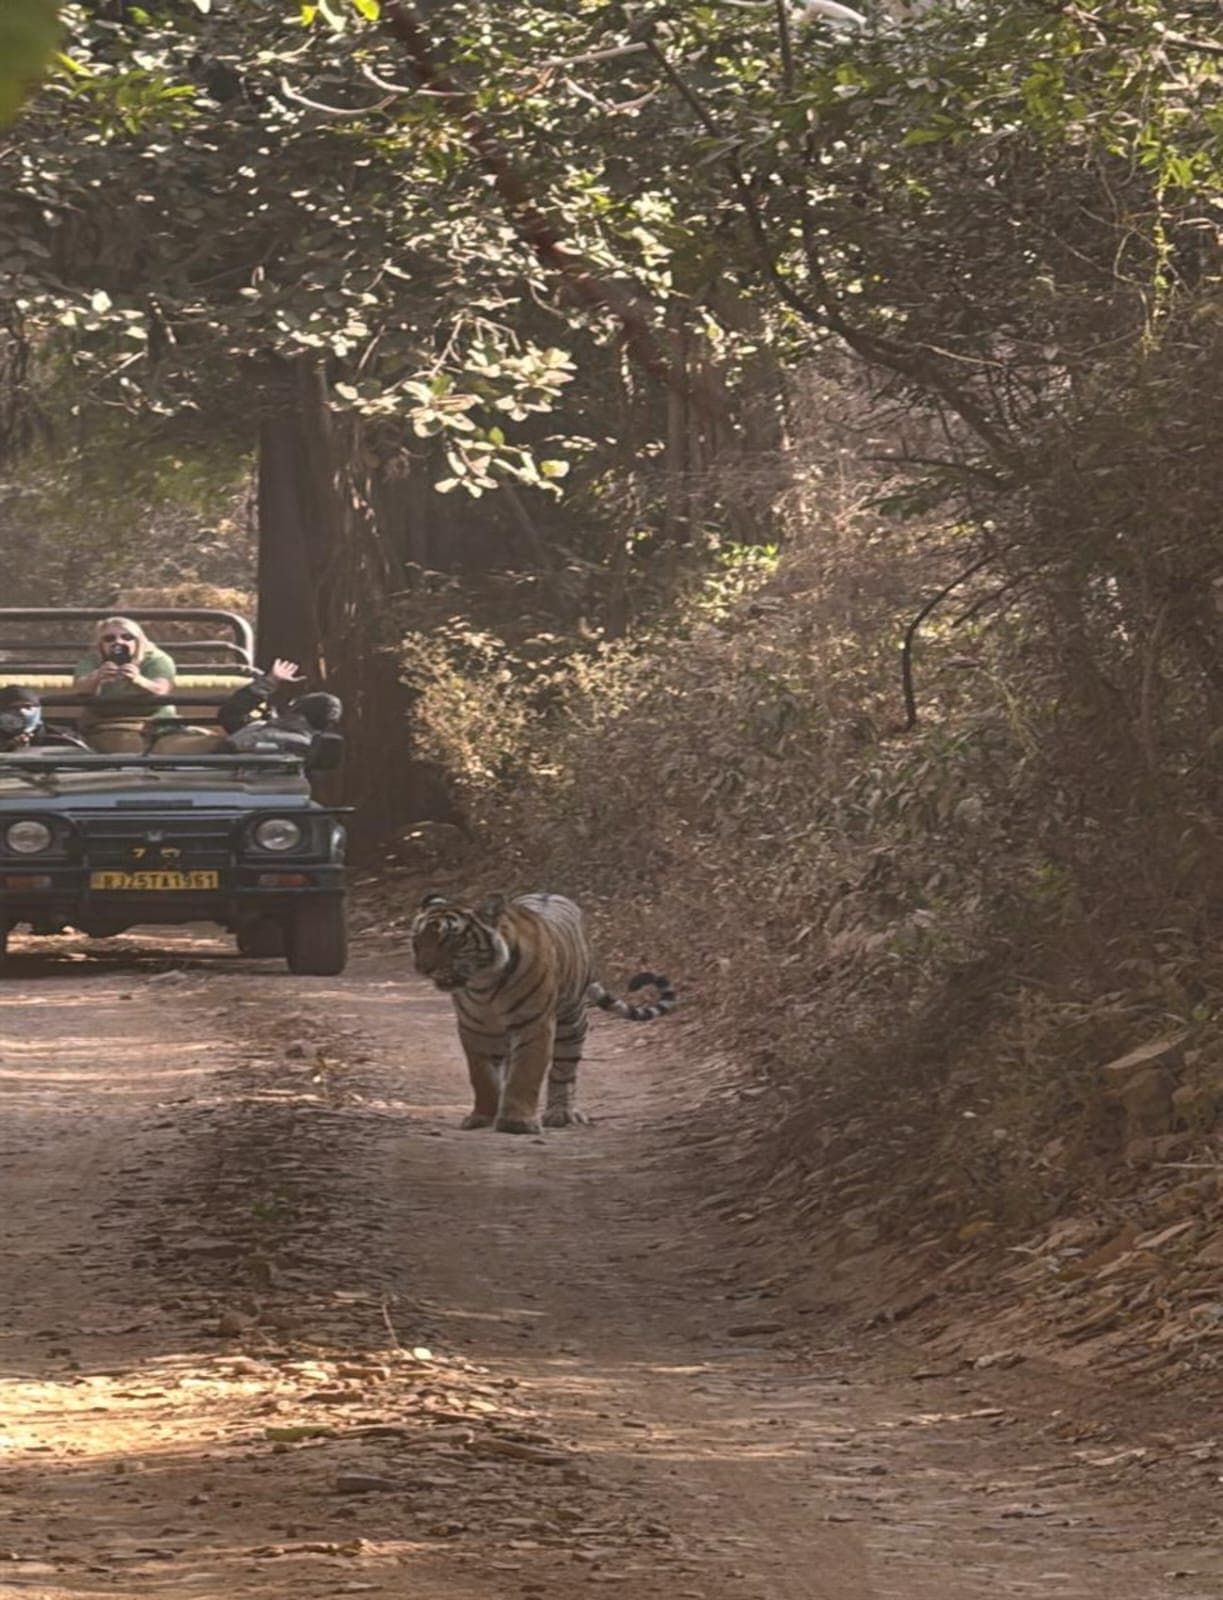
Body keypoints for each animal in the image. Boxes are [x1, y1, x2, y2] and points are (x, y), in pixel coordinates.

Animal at [410, 891, 676, 1135]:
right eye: (418, 939)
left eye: (450, 940)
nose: (422, 968)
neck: (483, 985)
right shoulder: (475, 1028)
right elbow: (483, 1077)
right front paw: (482, 1117)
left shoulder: (534, 1023)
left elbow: (526, 1072)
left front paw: (516, 1122)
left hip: (572, 1022)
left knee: (564, 1072)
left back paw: (561, 1113)